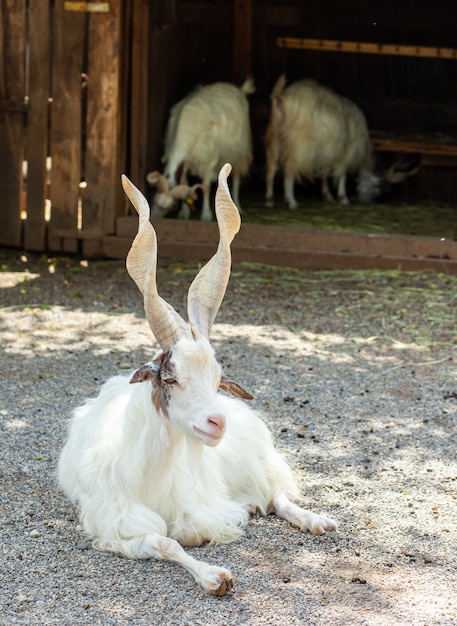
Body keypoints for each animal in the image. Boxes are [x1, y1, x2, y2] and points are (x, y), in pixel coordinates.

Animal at [57, 162, 336, 596]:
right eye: (170, 378)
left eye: (218, 378)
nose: (216, 422)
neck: (148, 474)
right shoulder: (115, 523)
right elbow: (165, 541)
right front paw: (213, 576)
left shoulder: (203, 504)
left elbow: (196, 528)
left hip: (247, 460)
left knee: (275, 494)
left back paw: (315, 519)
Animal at [162, 78, 255, 221]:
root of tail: (239, 89)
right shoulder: (187, 161)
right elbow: (185, 183)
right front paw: (184, 213)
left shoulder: (208, 161)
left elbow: (205, 187)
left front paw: (206, 214)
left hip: (239, 152)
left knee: (237, 178)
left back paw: (237, 205)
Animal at [264, 74, 416, 207]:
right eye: (380, 189)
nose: (368, 202)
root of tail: (281, 98)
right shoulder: (347, 151)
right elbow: (342, 174)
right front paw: (343, 198)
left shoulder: (328, 150)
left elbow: (324, 173)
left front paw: (327, 196)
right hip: (300, 145)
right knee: (289, 170)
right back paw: (292, 202)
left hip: (274, 136)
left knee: (271, 167)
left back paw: (270, 200)